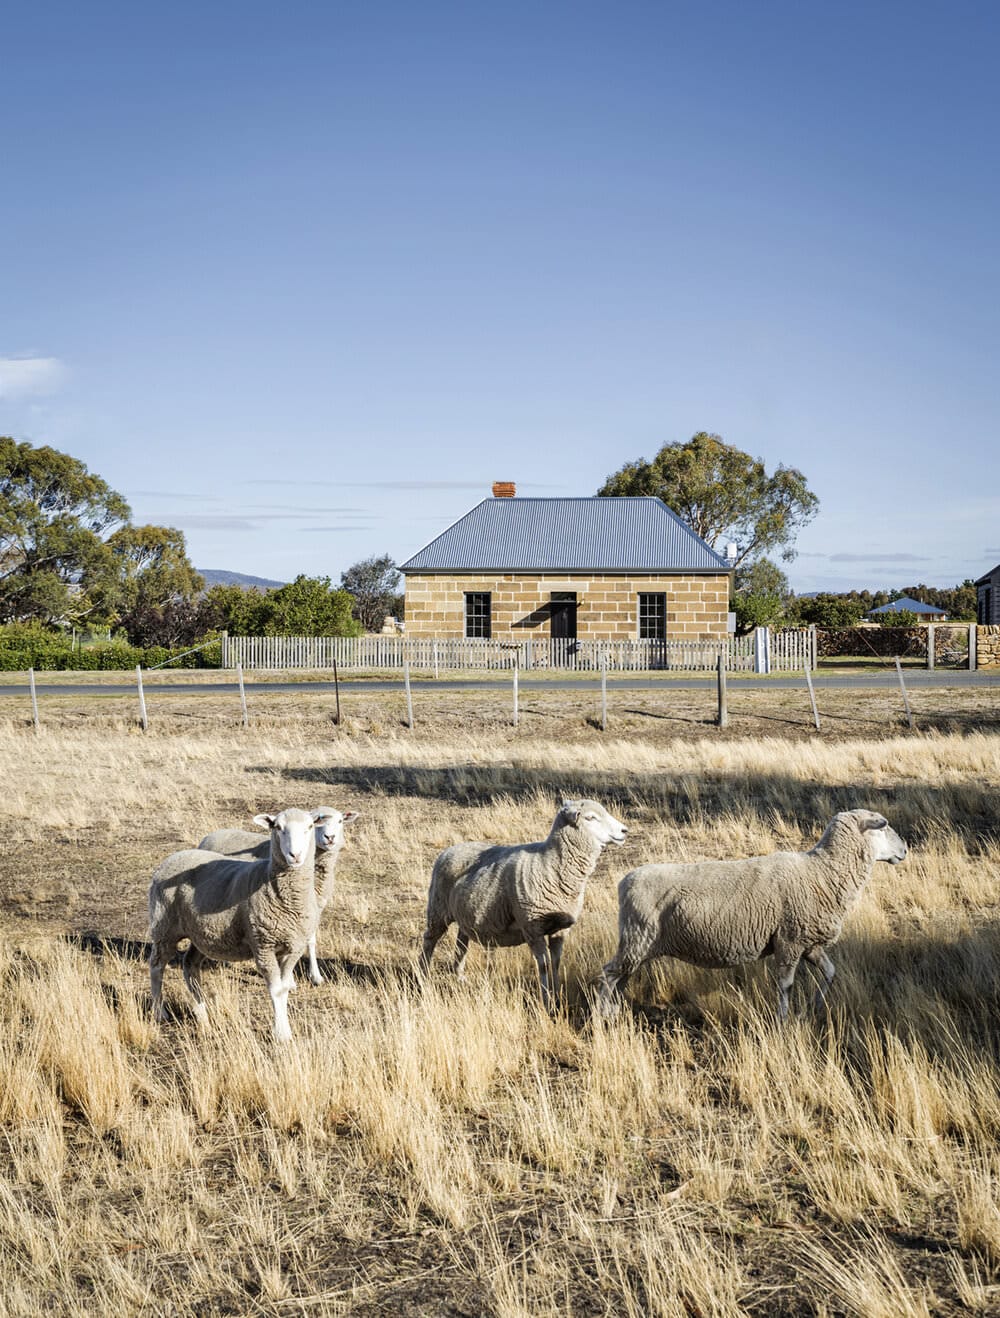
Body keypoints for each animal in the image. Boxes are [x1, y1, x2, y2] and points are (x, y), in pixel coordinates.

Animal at [148, 801, 318, 1038]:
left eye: (310, 826)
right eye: (277, 827)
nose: (295, 855)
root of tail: (172, 857)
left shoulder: (294, 946)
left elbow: (284, 988)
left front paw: (283, 1029)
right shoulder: (262, 944)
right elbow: (276, 990)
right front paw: (282, 1034)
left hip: (201, 934)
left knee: (189, 965)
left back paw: (202, 1014)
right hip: (164, 927)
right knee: (156, 967)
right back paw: (159, 1012)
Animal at [197, 806, 358, 985]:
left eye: (340, 821)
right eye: (318, 824)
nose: (330, 838)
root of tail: (211, 835)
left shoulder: (312, 909)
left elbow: (310, 940)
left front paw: (314, 976)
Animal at [421, 801, 627, 1006]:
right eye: (590, 817)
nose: (624, 830)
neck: (549, 864)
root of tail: (450, 849)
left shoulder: (560, 929)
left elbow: (555, 963)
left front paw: (557, 996)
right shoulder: (532, 928)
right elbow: (543, 966)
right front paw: (546, 1000)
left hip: (465, 912)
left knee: (461, 941)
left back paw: (459, 976)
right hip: (438, 909)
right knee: (429, 940)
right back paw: (423, 976)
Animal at [598, 806, 911, 1022]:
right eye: (882, 828)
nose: (905, 850)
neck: (823, 873)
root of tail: (625, 881)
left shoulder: (808, 943)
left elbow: (830, 973)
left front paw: (814, 1007)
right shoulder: (789, 940)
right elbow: (785, 985)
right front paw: (783, 1021)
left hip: (640, 946)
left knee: (620, 979)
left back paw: (614, 1012)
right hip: (637, 939)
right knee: (608, 975)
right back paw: (603, 1018)